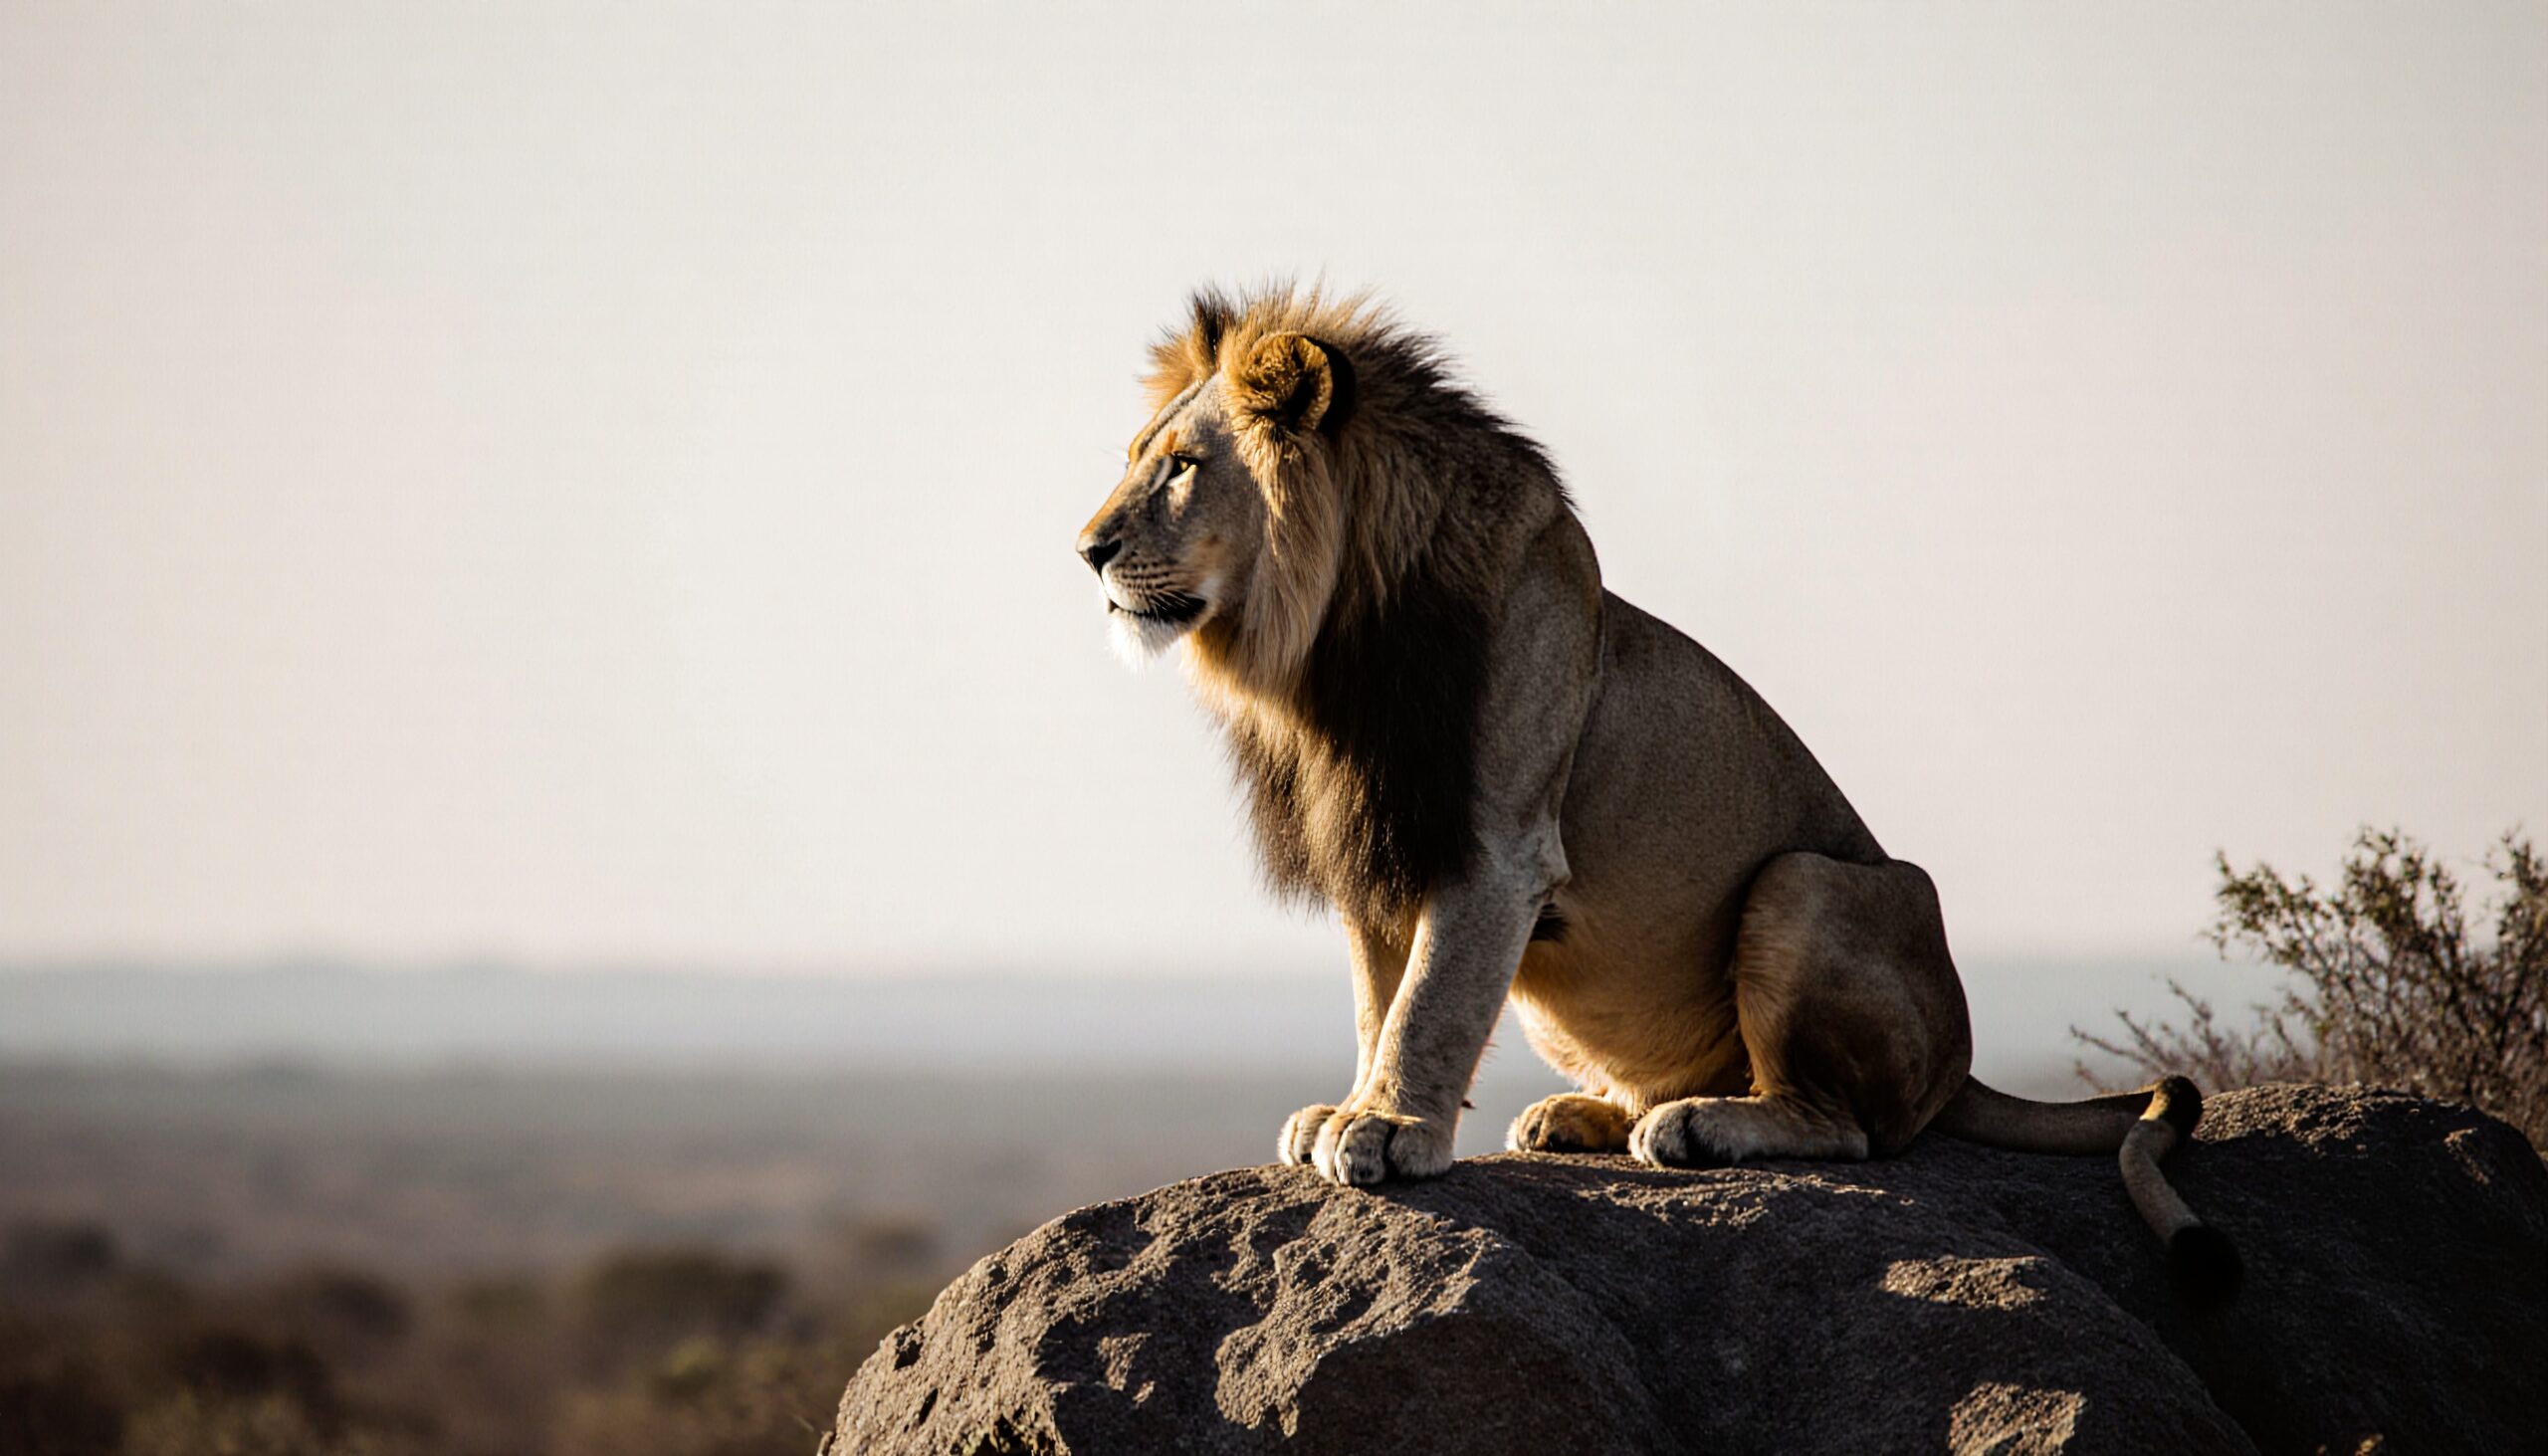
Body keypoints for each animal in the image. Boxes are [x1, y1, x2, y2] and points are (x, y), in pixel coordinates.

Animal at [1075, 285, 2240, 1299]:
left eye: (1181, 468)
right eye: (1136, 459)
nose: (1085, 549)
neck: (1331, 649)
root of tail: (1964, 1057)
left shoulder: (1495, 845)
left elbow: (1430, 1002)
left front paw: (1391, 1128)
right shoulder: (1379, 840)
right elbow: (1379, 998)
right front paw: (1351, 1107)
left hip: (1802, 882)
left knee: (1856, 1128)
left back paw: (1702, 1124)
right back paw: (1583, 1115)